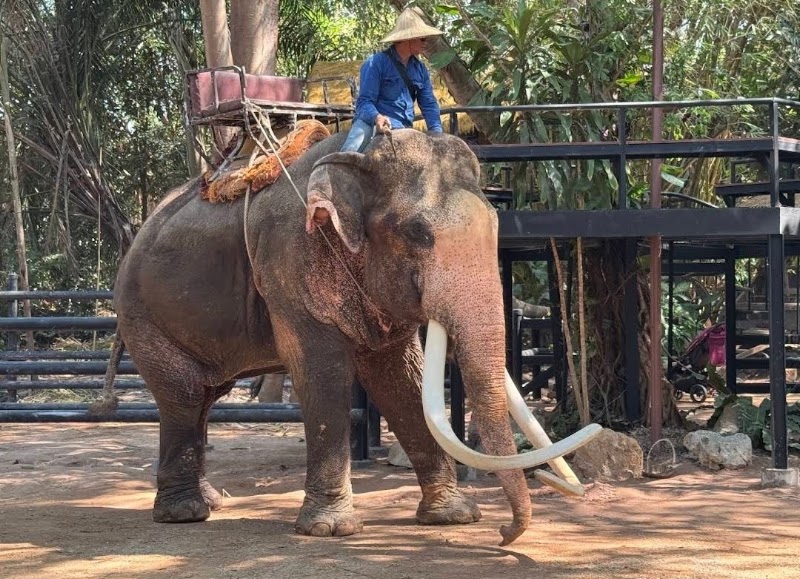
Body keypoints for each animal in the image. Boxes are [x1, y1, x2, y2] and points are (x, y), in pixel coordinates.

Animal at [107, 128, 597, 546]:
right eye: (418, 233)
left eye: (496, 227)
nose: (503, 534)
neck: (361, 157)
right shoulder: (290, 263)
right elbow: (322, 372)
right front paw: (330, 529)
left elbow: (401, 379)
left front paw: (452, 516)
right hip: (142, 315)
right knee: (185, 396)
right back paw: (185, 513)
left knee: (207, 396)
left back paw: (211, 501)